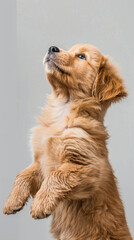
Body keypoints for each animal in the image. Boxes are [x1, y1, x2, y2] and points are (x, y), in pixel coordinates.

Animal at [3, 44, 132, 239]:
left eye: (81, 56)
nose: (52, 47)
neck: (62, 111)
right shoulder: (40, 161)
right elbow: (23, 174)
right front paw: (12, 200)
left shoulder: (88, 166)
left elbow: (56, 175)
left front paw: (40, 204)